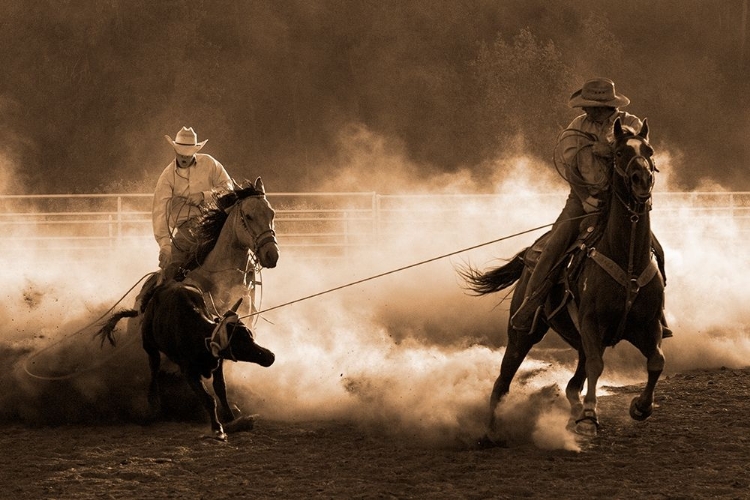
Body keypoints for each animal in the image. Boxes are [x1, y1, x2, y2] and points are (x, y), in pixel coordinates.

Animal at [462, 119, 668, 440]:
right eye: (619, 153)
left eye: (649, 150)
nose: (642, 180)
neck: (628, 260)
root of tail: (531, 253)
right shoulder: (592, 323)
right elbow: (597, 366)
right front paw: (589, 417)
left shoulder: (647, 325)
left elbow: (657, 361)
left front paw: (640, 407)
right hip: (524, 334)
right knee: (503, 380)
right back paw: (490, 433)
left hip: (582, 339)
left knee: (572, 384)